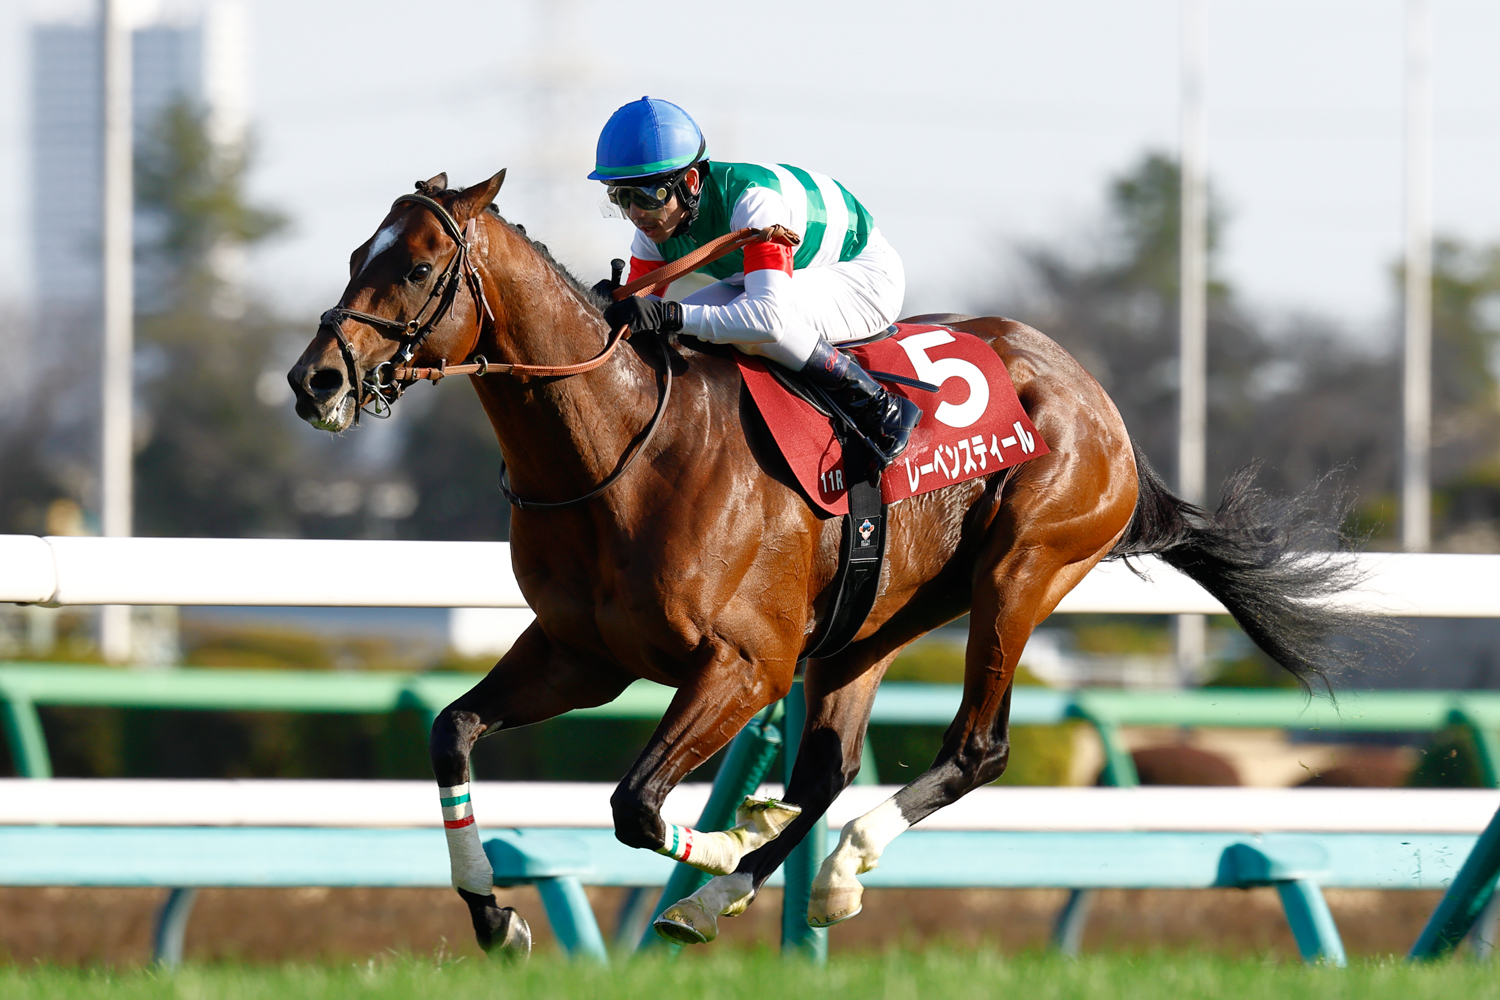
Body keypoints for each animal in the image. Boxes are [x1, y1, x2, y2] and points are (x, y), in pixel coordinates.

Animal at [287, 170, 1379, 955]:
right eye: (352, 254)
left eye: (418, 267)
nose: (315, 379)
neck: (621, 450)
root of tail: (1097, 401)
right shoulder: (580, 654)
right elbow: (451, 732)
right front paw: (495, 913)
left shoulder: (745, 663)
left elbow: (637, 803)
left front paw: (725, 834)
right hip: (872, 620)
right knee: (825, 768)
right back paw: (733, 893)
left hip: (1021, 570)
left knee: (975, 748)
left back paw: (836, 867)